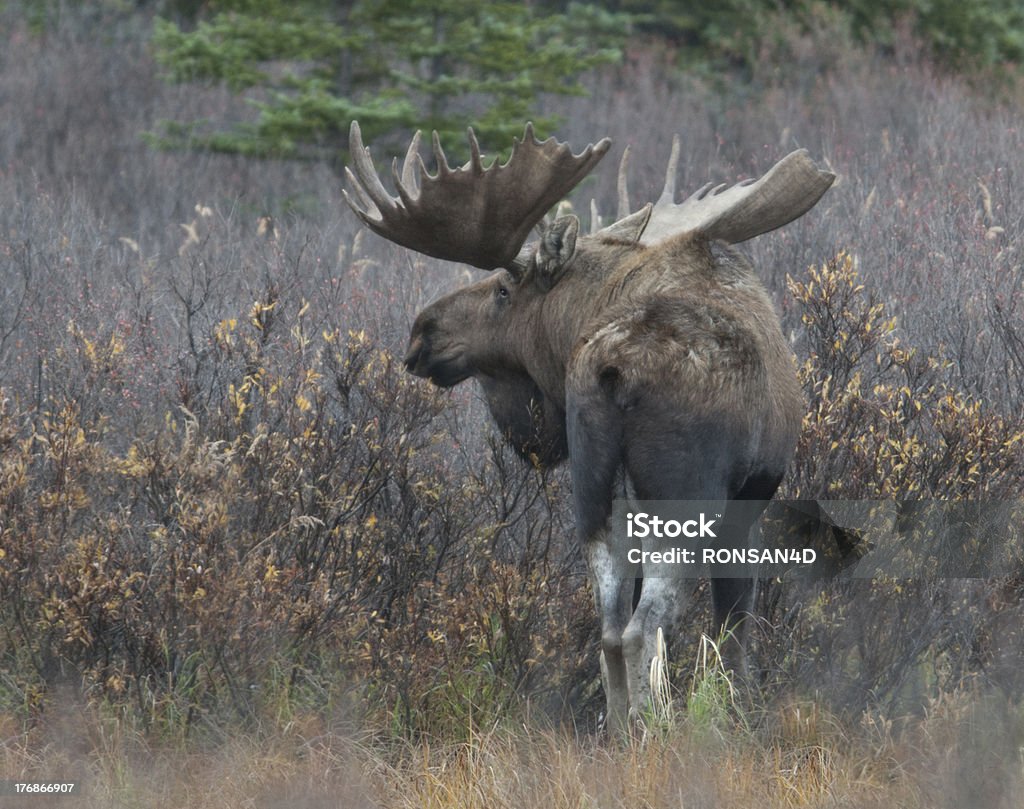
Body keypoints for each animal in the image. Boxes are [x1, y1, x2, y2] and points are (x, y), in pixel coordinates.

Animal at [344, 120, 831, 733]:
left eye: (503, 290)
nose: (420, 333)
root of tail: (612, 369)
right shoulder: (747, 505)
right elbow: (736, 634)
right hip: (682, 497)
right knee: (643, 629)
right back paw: (651, 731)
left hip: (596, 495)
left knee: (610, 630)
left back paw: (621, 729)